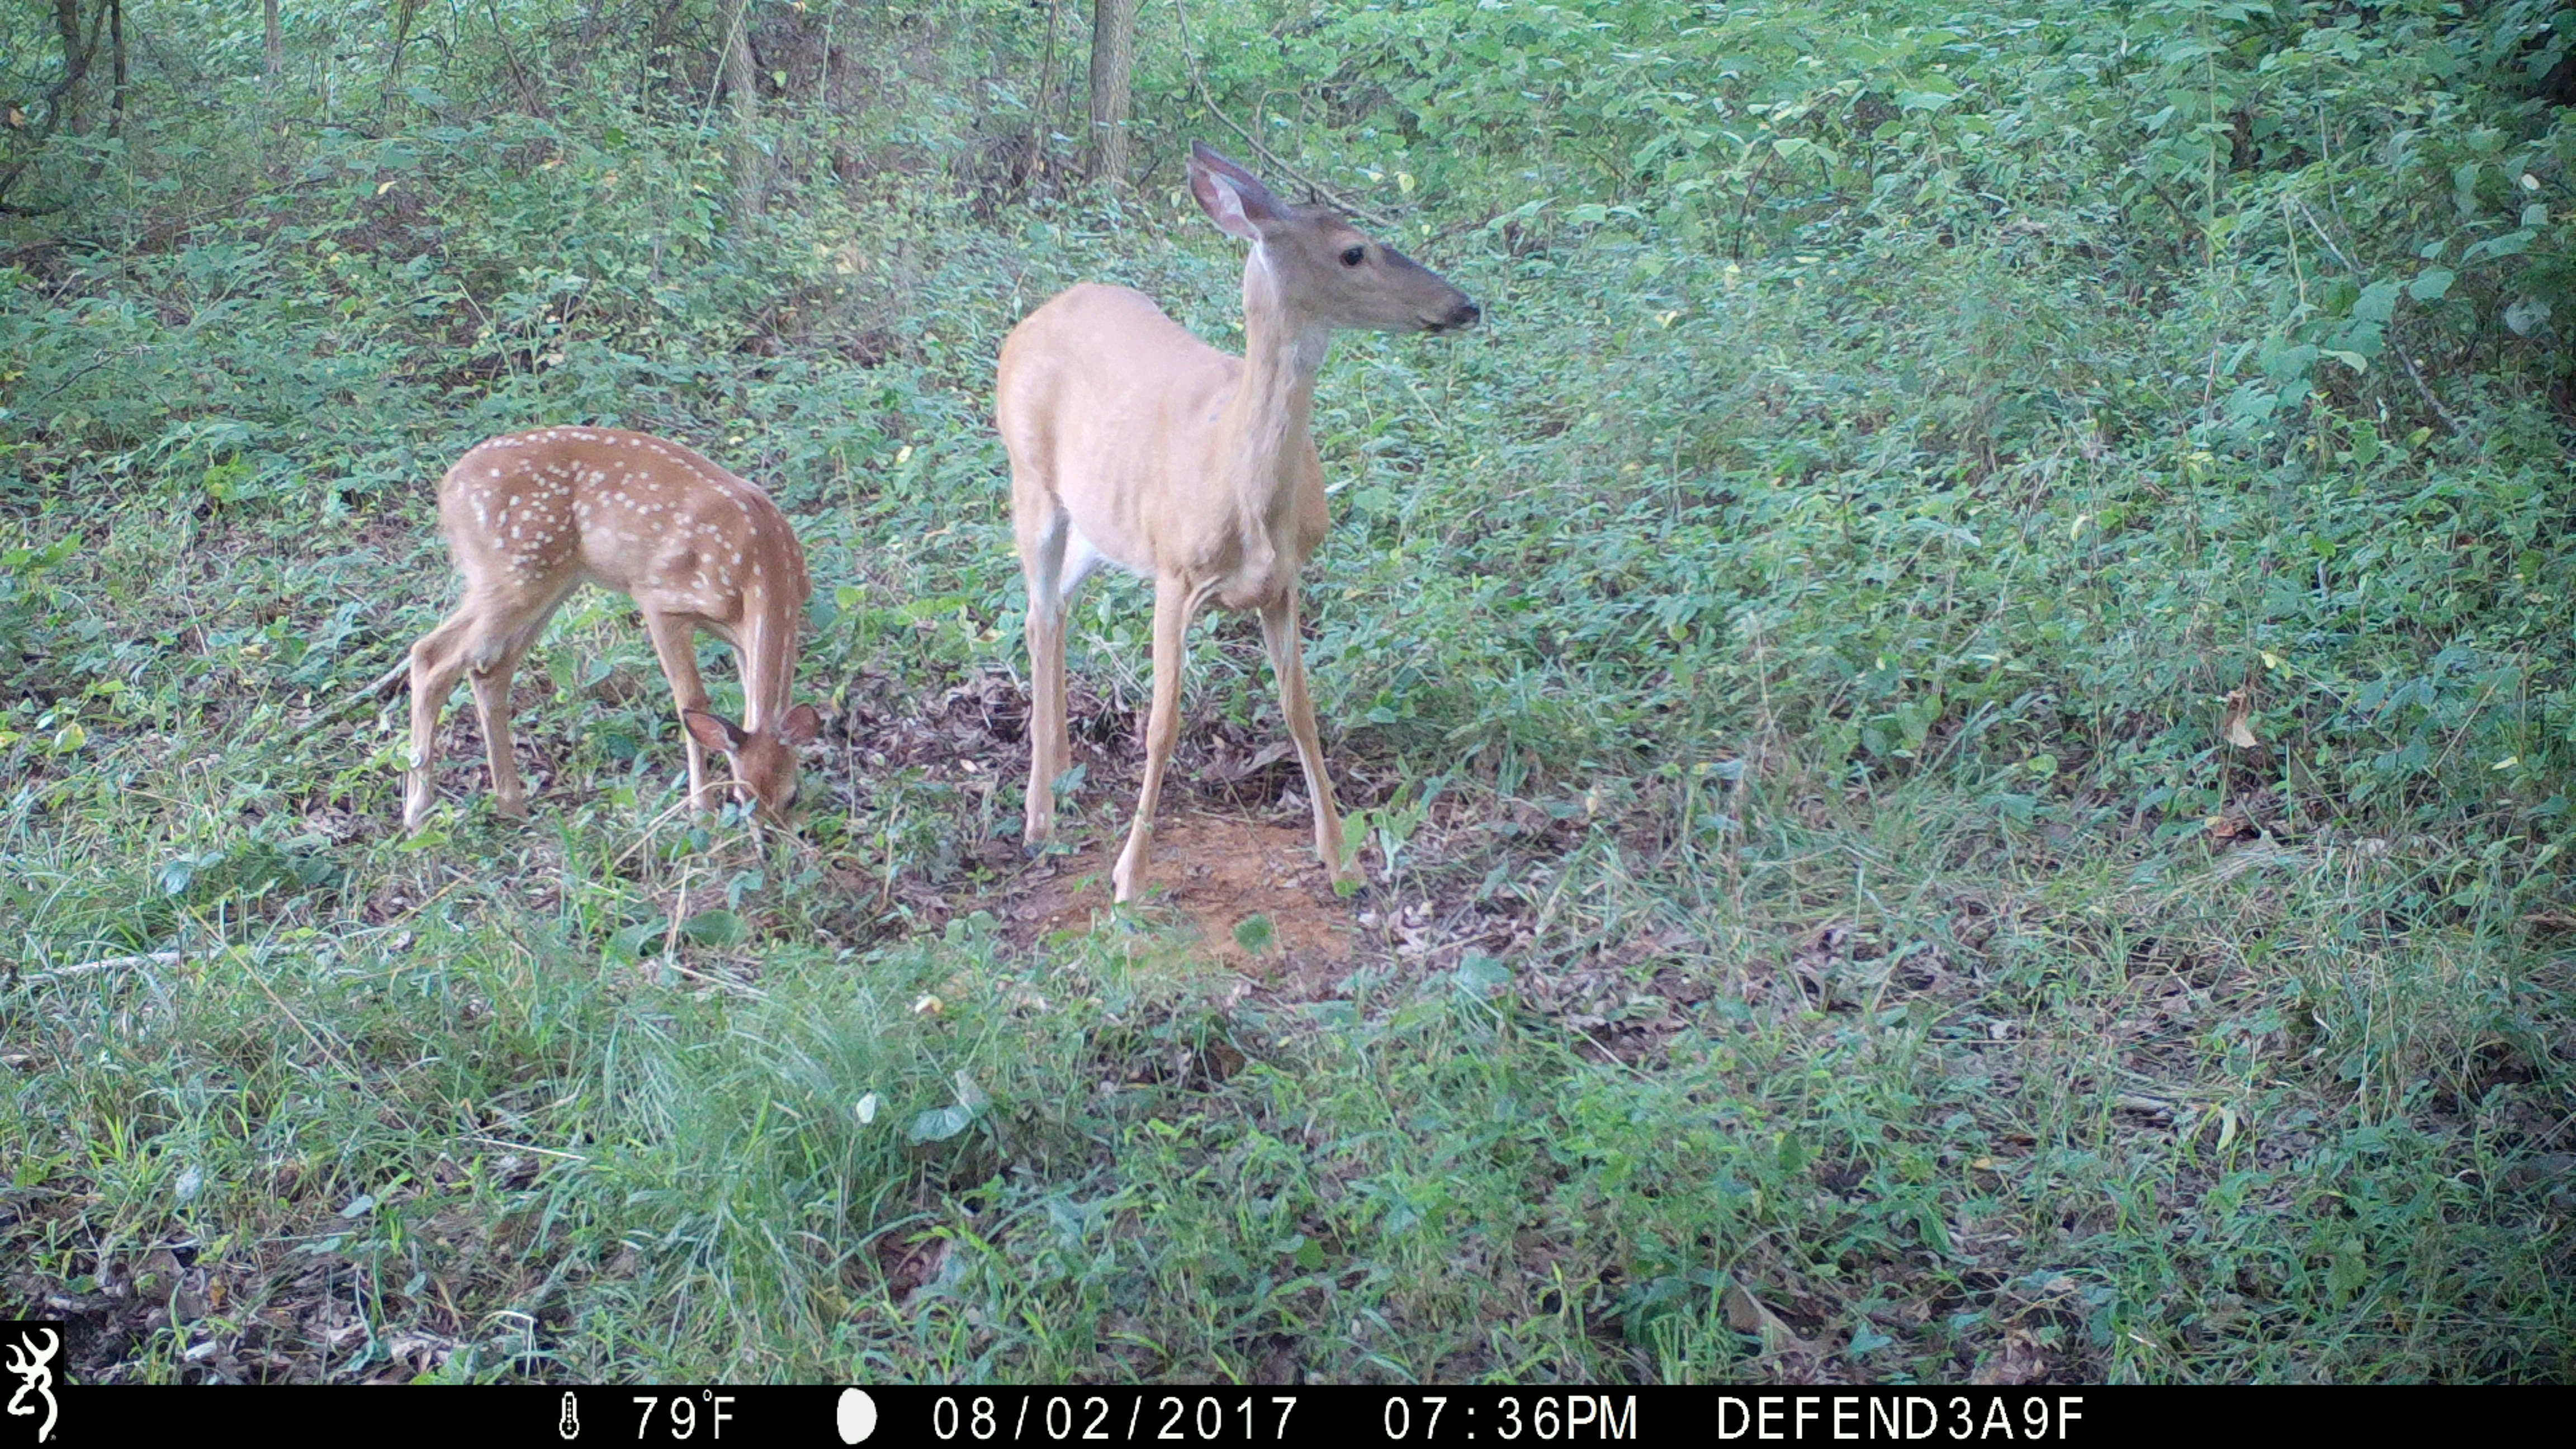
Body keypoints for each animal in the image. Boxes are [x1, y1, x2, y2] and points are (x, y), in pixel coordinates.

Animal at [396, 425, 819, 825]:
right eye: (740, 797)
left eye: (792, 796)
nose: (770, 845)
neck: (760, 570)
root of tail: (448, 489)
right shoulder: (660, 599)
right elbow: (692, 701)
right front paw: (702, 812)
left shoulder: (741, 637)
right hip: (511, 575)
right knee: (431, 654)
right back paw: (418, 813)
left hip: (552, 584)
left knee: (490, 671)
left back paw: (511, 805)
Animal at [1005, 141, 1494, 897]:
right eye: (1354, 251)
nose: (1464, 305)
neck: (1244, 492)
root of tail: (1034, 320)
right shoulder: (1175, 573)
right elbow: (1162, 724)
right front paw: (1129, 877)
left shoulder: (1284, 581)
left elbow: (1301, 714)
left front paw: (1341, 860)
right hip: (1031, 481)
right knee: (1034, 613)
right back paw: (1038, 821)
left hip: (1099, 523)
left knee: (1056, 609)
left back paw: (1057, 774)